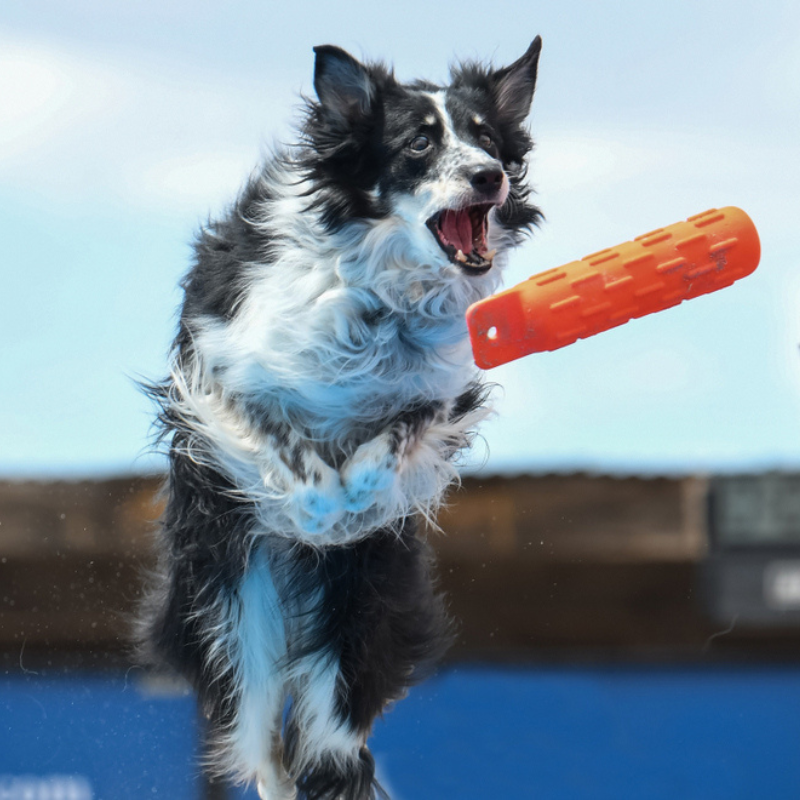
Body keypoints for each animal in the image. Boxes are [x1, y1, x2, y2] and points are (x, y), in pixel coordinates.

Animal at [141, 39, 544, 800]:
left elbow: (398, 434)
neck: (379, 295)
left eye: (487, 138)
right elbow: (280, 442)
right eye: (419, 143)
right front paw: (321, 501)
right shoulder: (221, 374)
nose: (490, 177)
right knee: (261, 735)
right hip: (232, 620)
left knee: (326, 737)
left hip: (362, 610)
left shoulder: (440, 393)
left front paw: (357, 495)